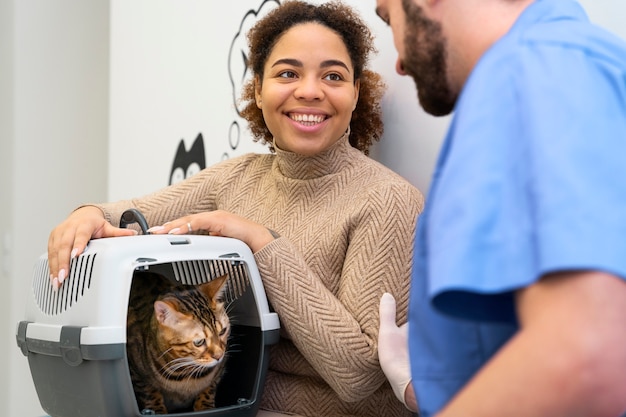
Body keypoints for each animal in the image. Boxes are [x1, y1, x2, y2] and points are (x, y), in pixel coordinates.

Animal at [125, 270, 230, 412]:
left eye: (222, 331)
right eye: (199, 342)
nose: (219, 356)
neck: (186, 372)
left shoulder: (220, 370)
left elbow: (209, 388)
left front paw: (205, 406)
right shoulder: (135, 372)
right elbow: (150, 392)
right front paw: (157, 410)